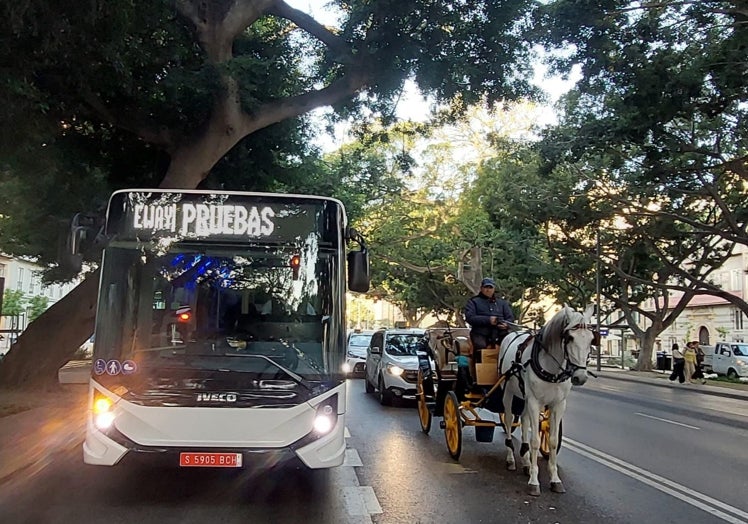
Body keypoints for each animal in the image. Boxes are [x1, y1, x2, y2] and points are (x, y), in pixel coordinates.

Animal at [496, 304, 596, 494]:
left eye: (591, 339)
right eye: (570, 338)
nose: (580, 377)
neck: (551, 369)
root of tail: (513, 332)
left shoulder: (558, 404)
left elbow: (552, 441)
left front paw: (554, 478)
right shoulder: (535, 402)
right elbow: (535, 441)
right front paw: (534, 481)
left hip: (525, 397)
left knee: (524, 421)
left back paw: (526, 461)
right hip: (508, 393)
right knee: (509, 420)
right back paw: (511, 458)